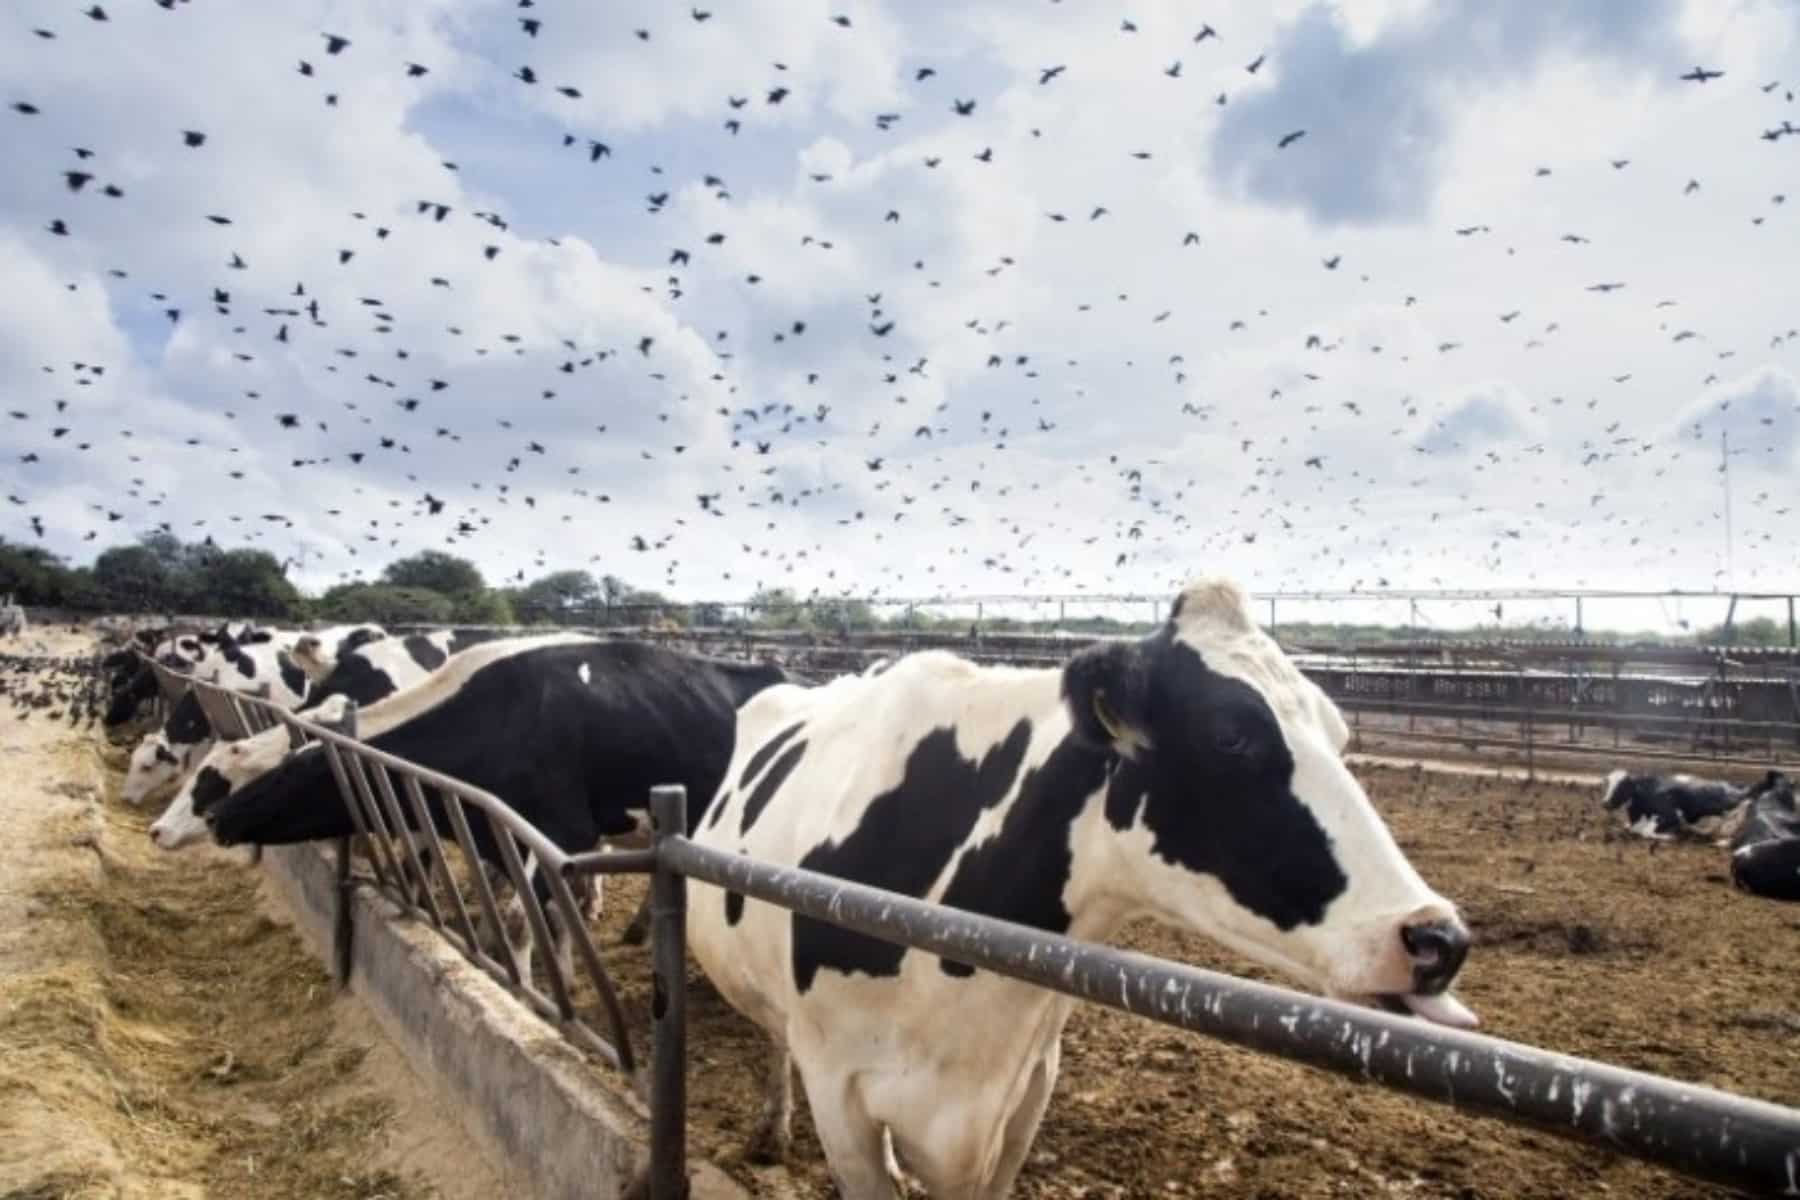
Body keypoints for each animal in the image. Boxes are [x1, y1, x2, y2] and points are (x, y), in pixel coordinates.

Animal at [1605, 770, 1742, 845]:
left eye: (1623, 786)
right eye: (1607, 784)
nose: (1604, 803)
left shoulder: (1672, 817)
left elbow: (1646, 832)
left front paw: (1669, 836)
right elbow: (1627, 827)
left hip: (1730, 822)